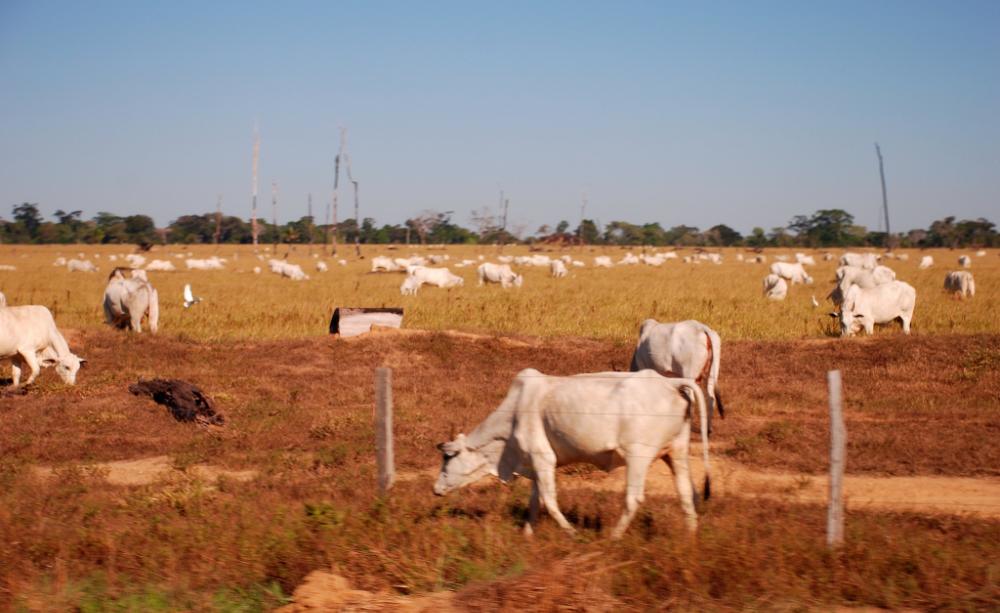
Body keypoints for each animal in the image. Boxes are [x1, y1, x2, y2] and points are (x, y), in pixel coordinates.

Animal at [433, 368, 710, 538]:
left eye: (448, 457)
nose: (436, 489)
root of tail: (670, 383)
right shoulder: (535, 463)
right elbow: (535, 501)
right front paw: (527, 533)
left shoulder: (543, 458)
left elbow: (550, 501)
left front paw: (571, 533)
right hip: (677, 452)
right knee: (687, 494)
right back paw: (691, 537)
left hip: (637, 458)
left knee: (633, 499)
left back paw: (613, 538)